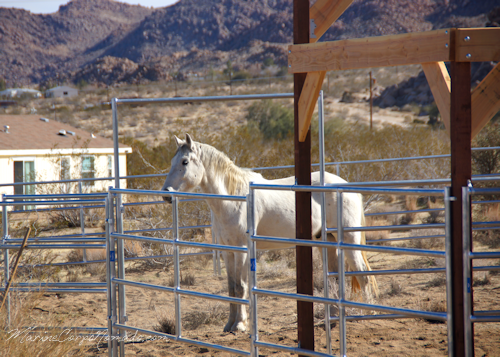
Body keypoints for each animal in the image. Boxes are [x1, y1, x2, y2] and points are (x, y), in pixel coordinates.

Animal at [162, 134, 376, 330]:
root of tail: (346, 186)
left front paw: (240, 324)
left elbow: (240, 287)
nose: (166, 194)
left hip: (348, 239)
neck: (234, 198)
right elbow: (231, 287)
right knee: (334, 279)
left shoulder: (242, 250)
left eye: (185, 161)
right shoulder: (227, 251)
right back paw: (330, 320)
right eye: (172, 161)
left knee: (363, 275)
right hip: (327, 241)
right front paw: (229, 324)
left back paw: (367, 314)